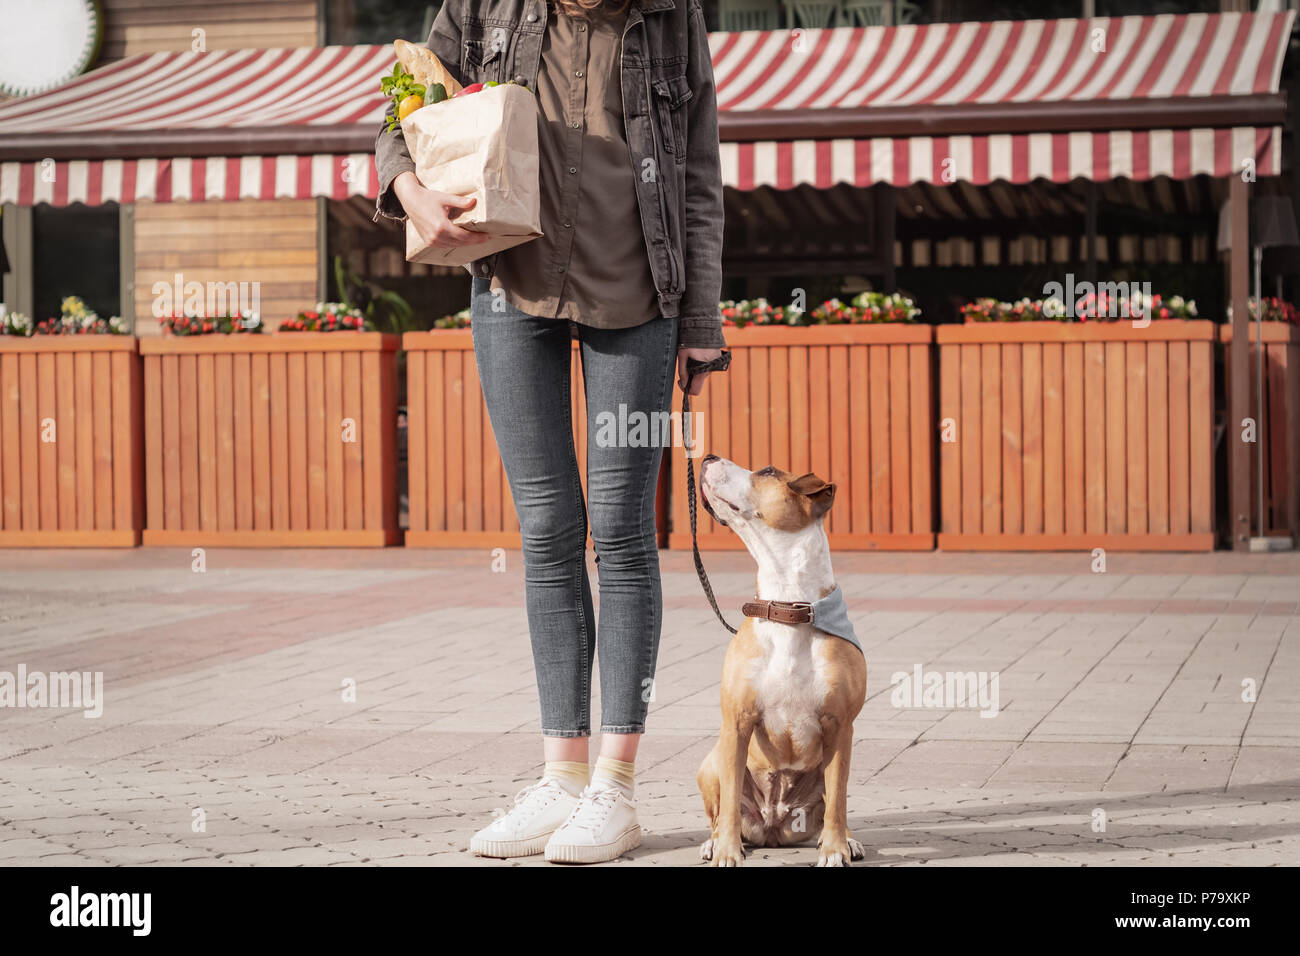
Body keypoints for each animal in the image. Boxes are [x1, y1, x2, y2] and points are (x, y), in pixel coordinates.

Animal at [696, 455, 868, 868]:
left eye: (769, 472)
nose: (708, 457)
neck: (789, 607)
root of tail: (773, 826)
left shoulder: (841, 727)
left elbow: (838, 802)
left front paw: (835, 849)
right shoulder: (737, 723)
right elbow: (728, 805)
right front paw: (727, 851)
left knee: (836, 801)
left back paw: (847, 840)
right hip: (711, 762)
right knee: (720, 809)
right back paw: (713, 842)